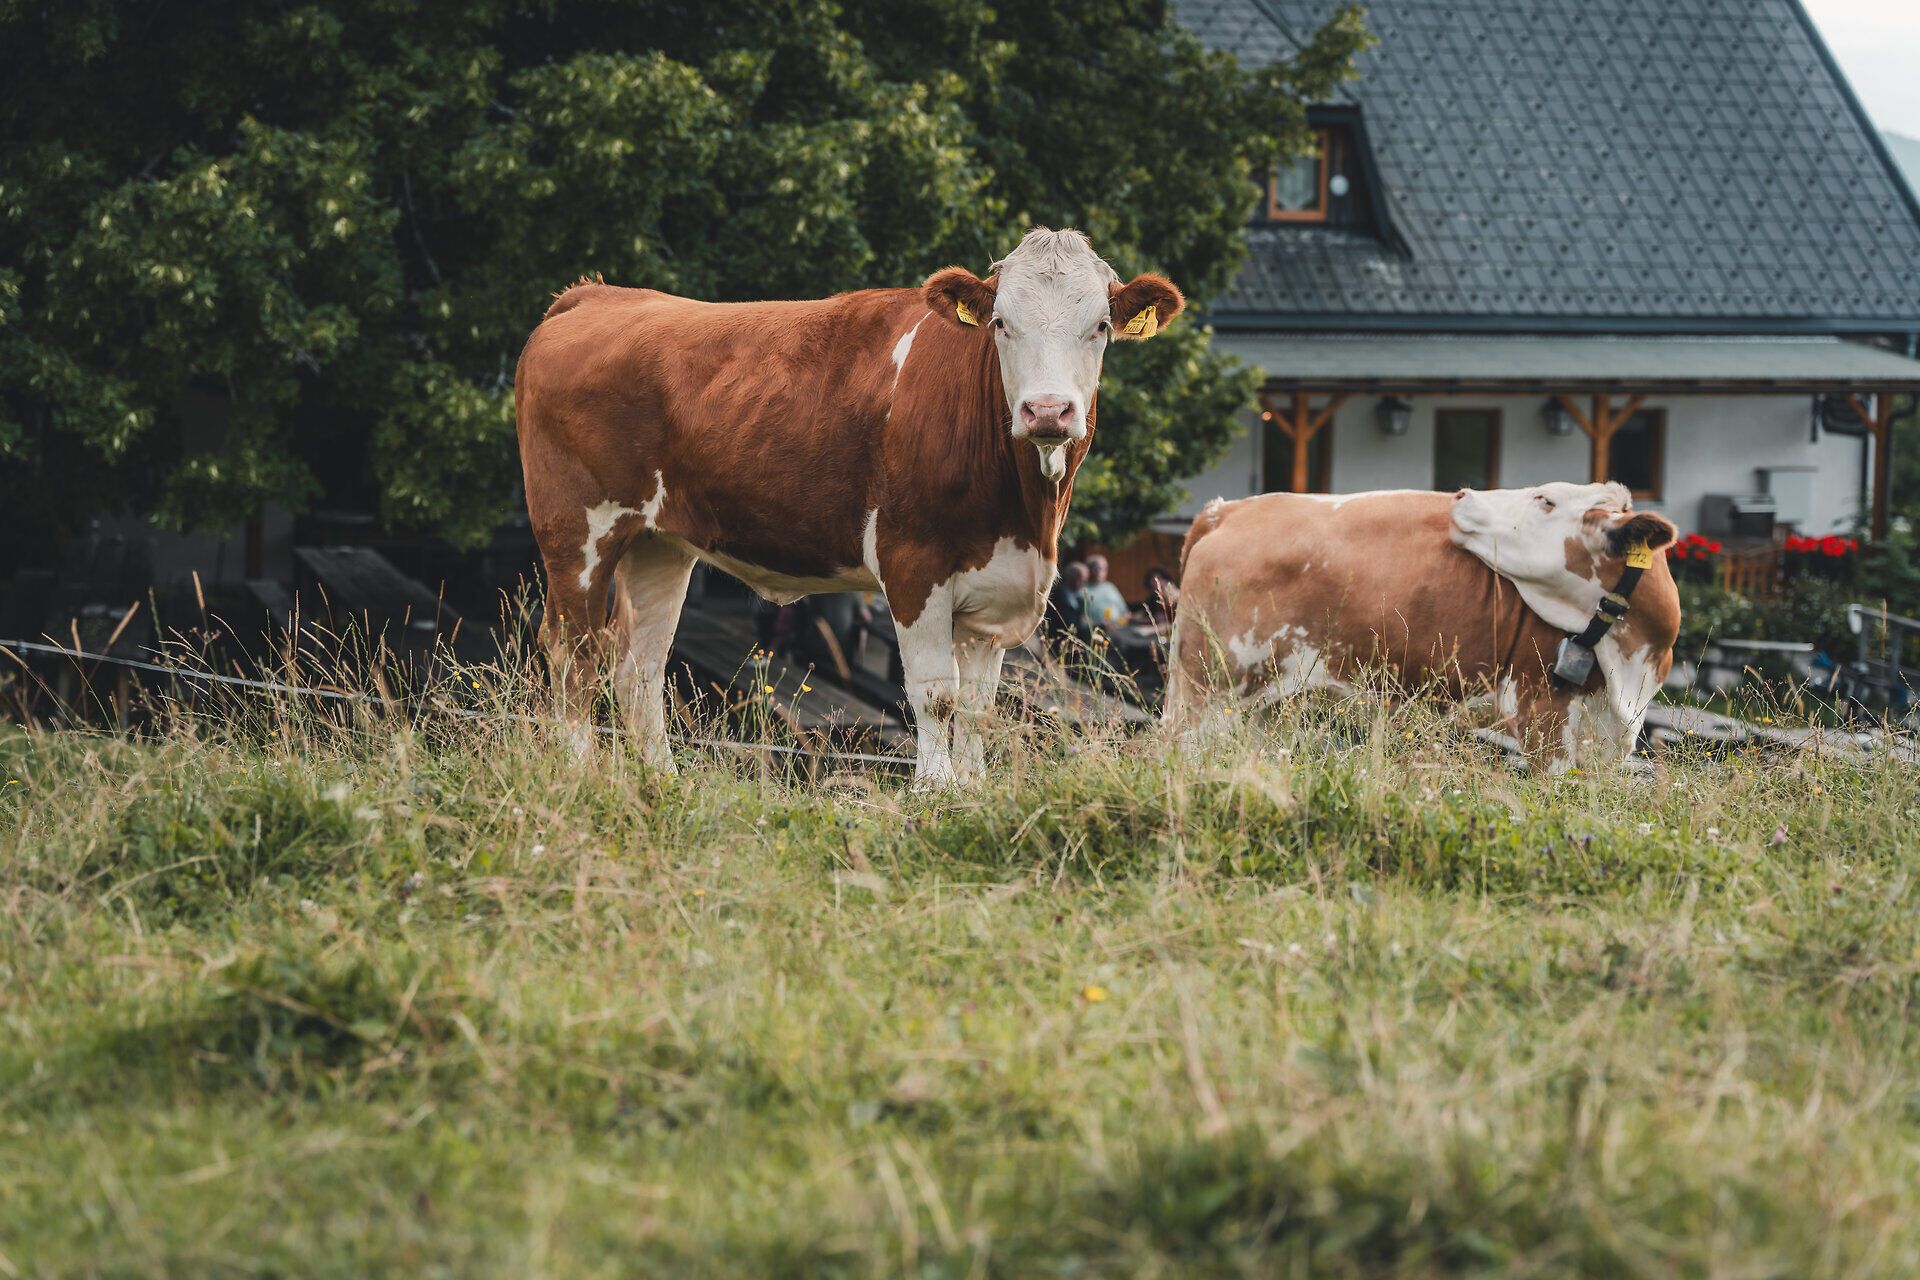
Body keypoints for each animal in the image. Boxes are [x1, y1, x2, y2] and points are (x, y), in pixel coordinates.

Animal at [513, 228, 1184, 787]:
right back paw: (578, 772)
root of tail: (594, 296)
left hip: (659, 543)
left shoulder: (998, 584)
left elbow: (976, 704)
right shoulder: (913, 562)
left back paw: (662, 778)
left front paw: (973, 787)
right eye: (1000, 322)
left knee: (641, 666)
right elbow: (936, 693)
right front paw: (937, 791)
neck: (1023, 514)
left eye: (1100, 326)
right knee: (572, 651)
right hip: (577, 532)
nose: (1047, 411)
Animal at [1164, 482, 1681, 771]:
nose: (1463, 496)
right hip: (1207, 693)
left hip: (1262, 710)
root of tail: (1228, 510)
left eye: (1546, 500)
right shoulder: (1543, 712)